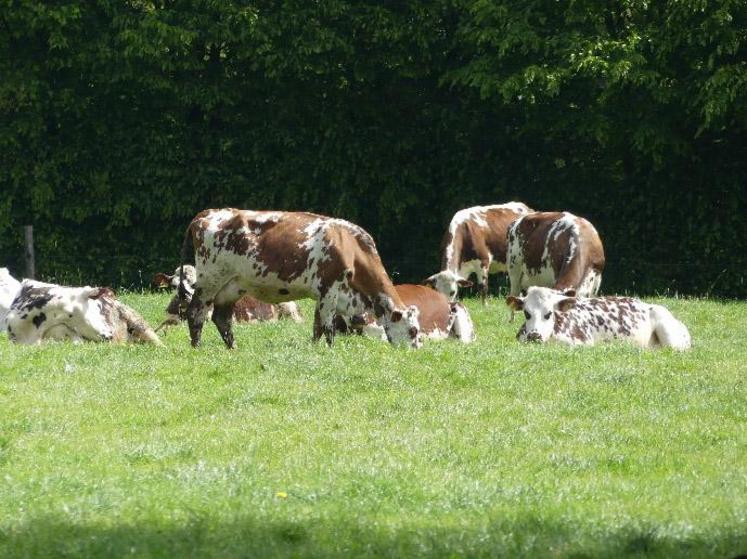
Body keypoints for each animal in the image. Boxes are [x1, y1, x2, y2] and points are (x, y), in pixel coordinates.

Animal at [177, 210, 420, 350]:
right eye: (413, 331)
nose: (416, 350)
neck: (350, 246)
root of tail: (208, 213)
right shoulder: (330, 288)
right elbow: (328, 326)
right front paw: (331, 351)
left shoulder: (324, 294)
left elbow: (317, 326)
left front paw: (314, 348)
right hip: (210, 279)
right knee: (196, 312)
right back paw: (197, 347)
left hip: (233, 285)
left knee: (221, 318)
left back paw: (233, 348)